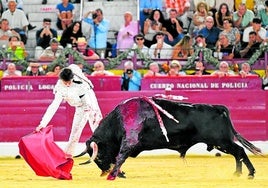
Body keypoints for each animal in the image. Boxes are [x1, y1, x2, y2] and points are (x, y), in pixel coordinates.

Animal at [76, 96, 262, 180]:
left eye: (99, 156)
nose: (104, 172)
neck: (119, 120)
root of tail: (219, 108)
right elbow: (119, 158)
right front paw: (119, 173)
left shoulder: (129, 141)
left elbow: (120, 156)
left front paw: (114, 175)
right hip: (220, 143)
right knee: (238, 153)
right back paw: (237, 173)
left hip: (221, 141)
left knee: (239, 151)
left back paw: (249, 173)